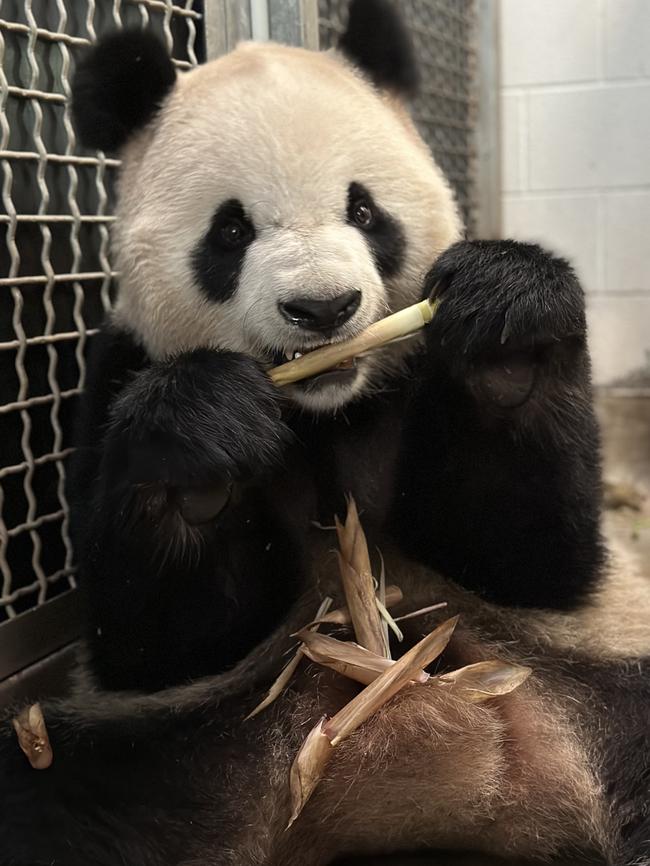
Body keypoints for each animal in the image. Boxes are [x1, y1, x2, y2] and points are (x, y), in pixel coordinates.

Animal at [1, 0, 648, 860]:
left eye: (365, 211)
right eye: (231, 231)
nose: (323, 307)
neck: (326, 410)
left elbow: (529, 551)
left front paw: (504, 326)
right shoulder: (116, 374)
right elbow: (158, 638)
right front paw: (204, 444)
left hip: (596, 682)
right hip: (174, 756)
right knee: (54, 797)